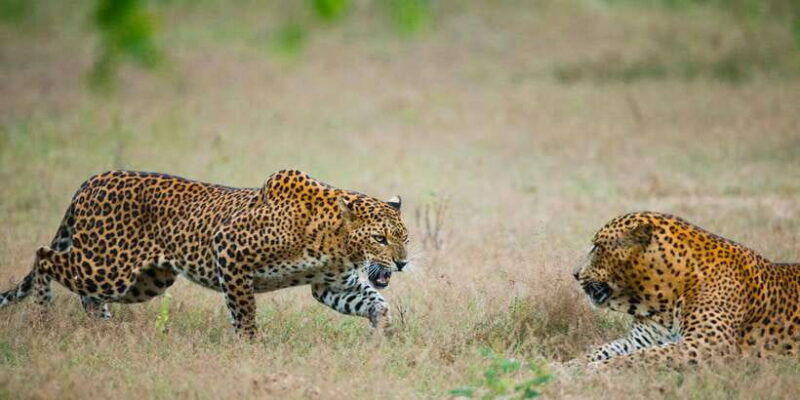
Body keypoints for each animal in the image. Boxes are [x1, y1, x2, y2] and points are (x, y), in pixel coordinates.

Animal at [0, 169, 409, 338]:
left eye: (404, 238)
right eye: (380, 239)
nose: (403, 263)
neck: (336, 242)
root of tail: (92, 180)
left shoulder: (331, 286)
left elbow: (374, 302)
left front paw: (382, 334)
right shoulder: (230, 250)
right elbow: (243, 310)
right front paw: (250, 348)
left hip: (144, 281)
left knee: (87, 295)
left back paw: (103, 327)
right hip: (107, 265)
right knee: (44, 256)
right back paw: (42, 315)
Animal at [573, 211, 800, 368]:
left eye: (597, 247)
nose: (574, 274)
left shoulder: (708, 344)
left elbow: (641, 357)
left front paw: (593, 370)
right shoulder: (641, 339)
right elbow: (602, 349)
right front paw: (571, 365)